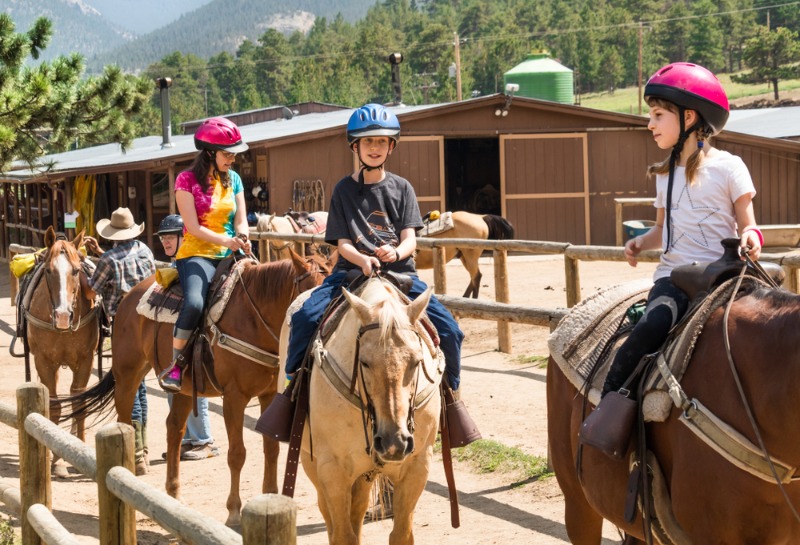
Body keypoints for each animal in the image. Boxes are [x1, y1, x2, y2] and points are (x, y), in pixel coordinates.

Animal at [24, 227, 99, 474]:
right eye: (49, 271)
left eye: (76, 271)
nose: (63, 316)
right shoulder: (44, 361)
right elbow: (54, 405)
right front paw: (55, 460)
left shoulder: (85, 360)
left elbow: (80, 403)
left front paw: (80, 448)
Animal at [58, 249, 328, 524]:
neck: (253, 319)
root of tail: (129, 297)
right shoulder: (234, 397)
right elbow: (237, 454)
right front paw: (233, 512)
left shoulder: (269, 396)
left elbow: (271, 450)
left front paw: (271, 498)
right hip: (128, 374)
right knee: (125, 423)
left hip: (184, 389)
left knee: (174, 429)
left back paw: (174, 494)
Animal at [288, 276, 446, 544]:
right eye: (364, 362)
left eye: (416, 362)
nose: (394, 442)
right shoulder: (331, 470)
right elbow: (342, 535)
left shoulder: (417, 467)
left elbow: (401, 534)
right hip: (313, 463)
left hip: (364, 473)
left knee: (358, 508)